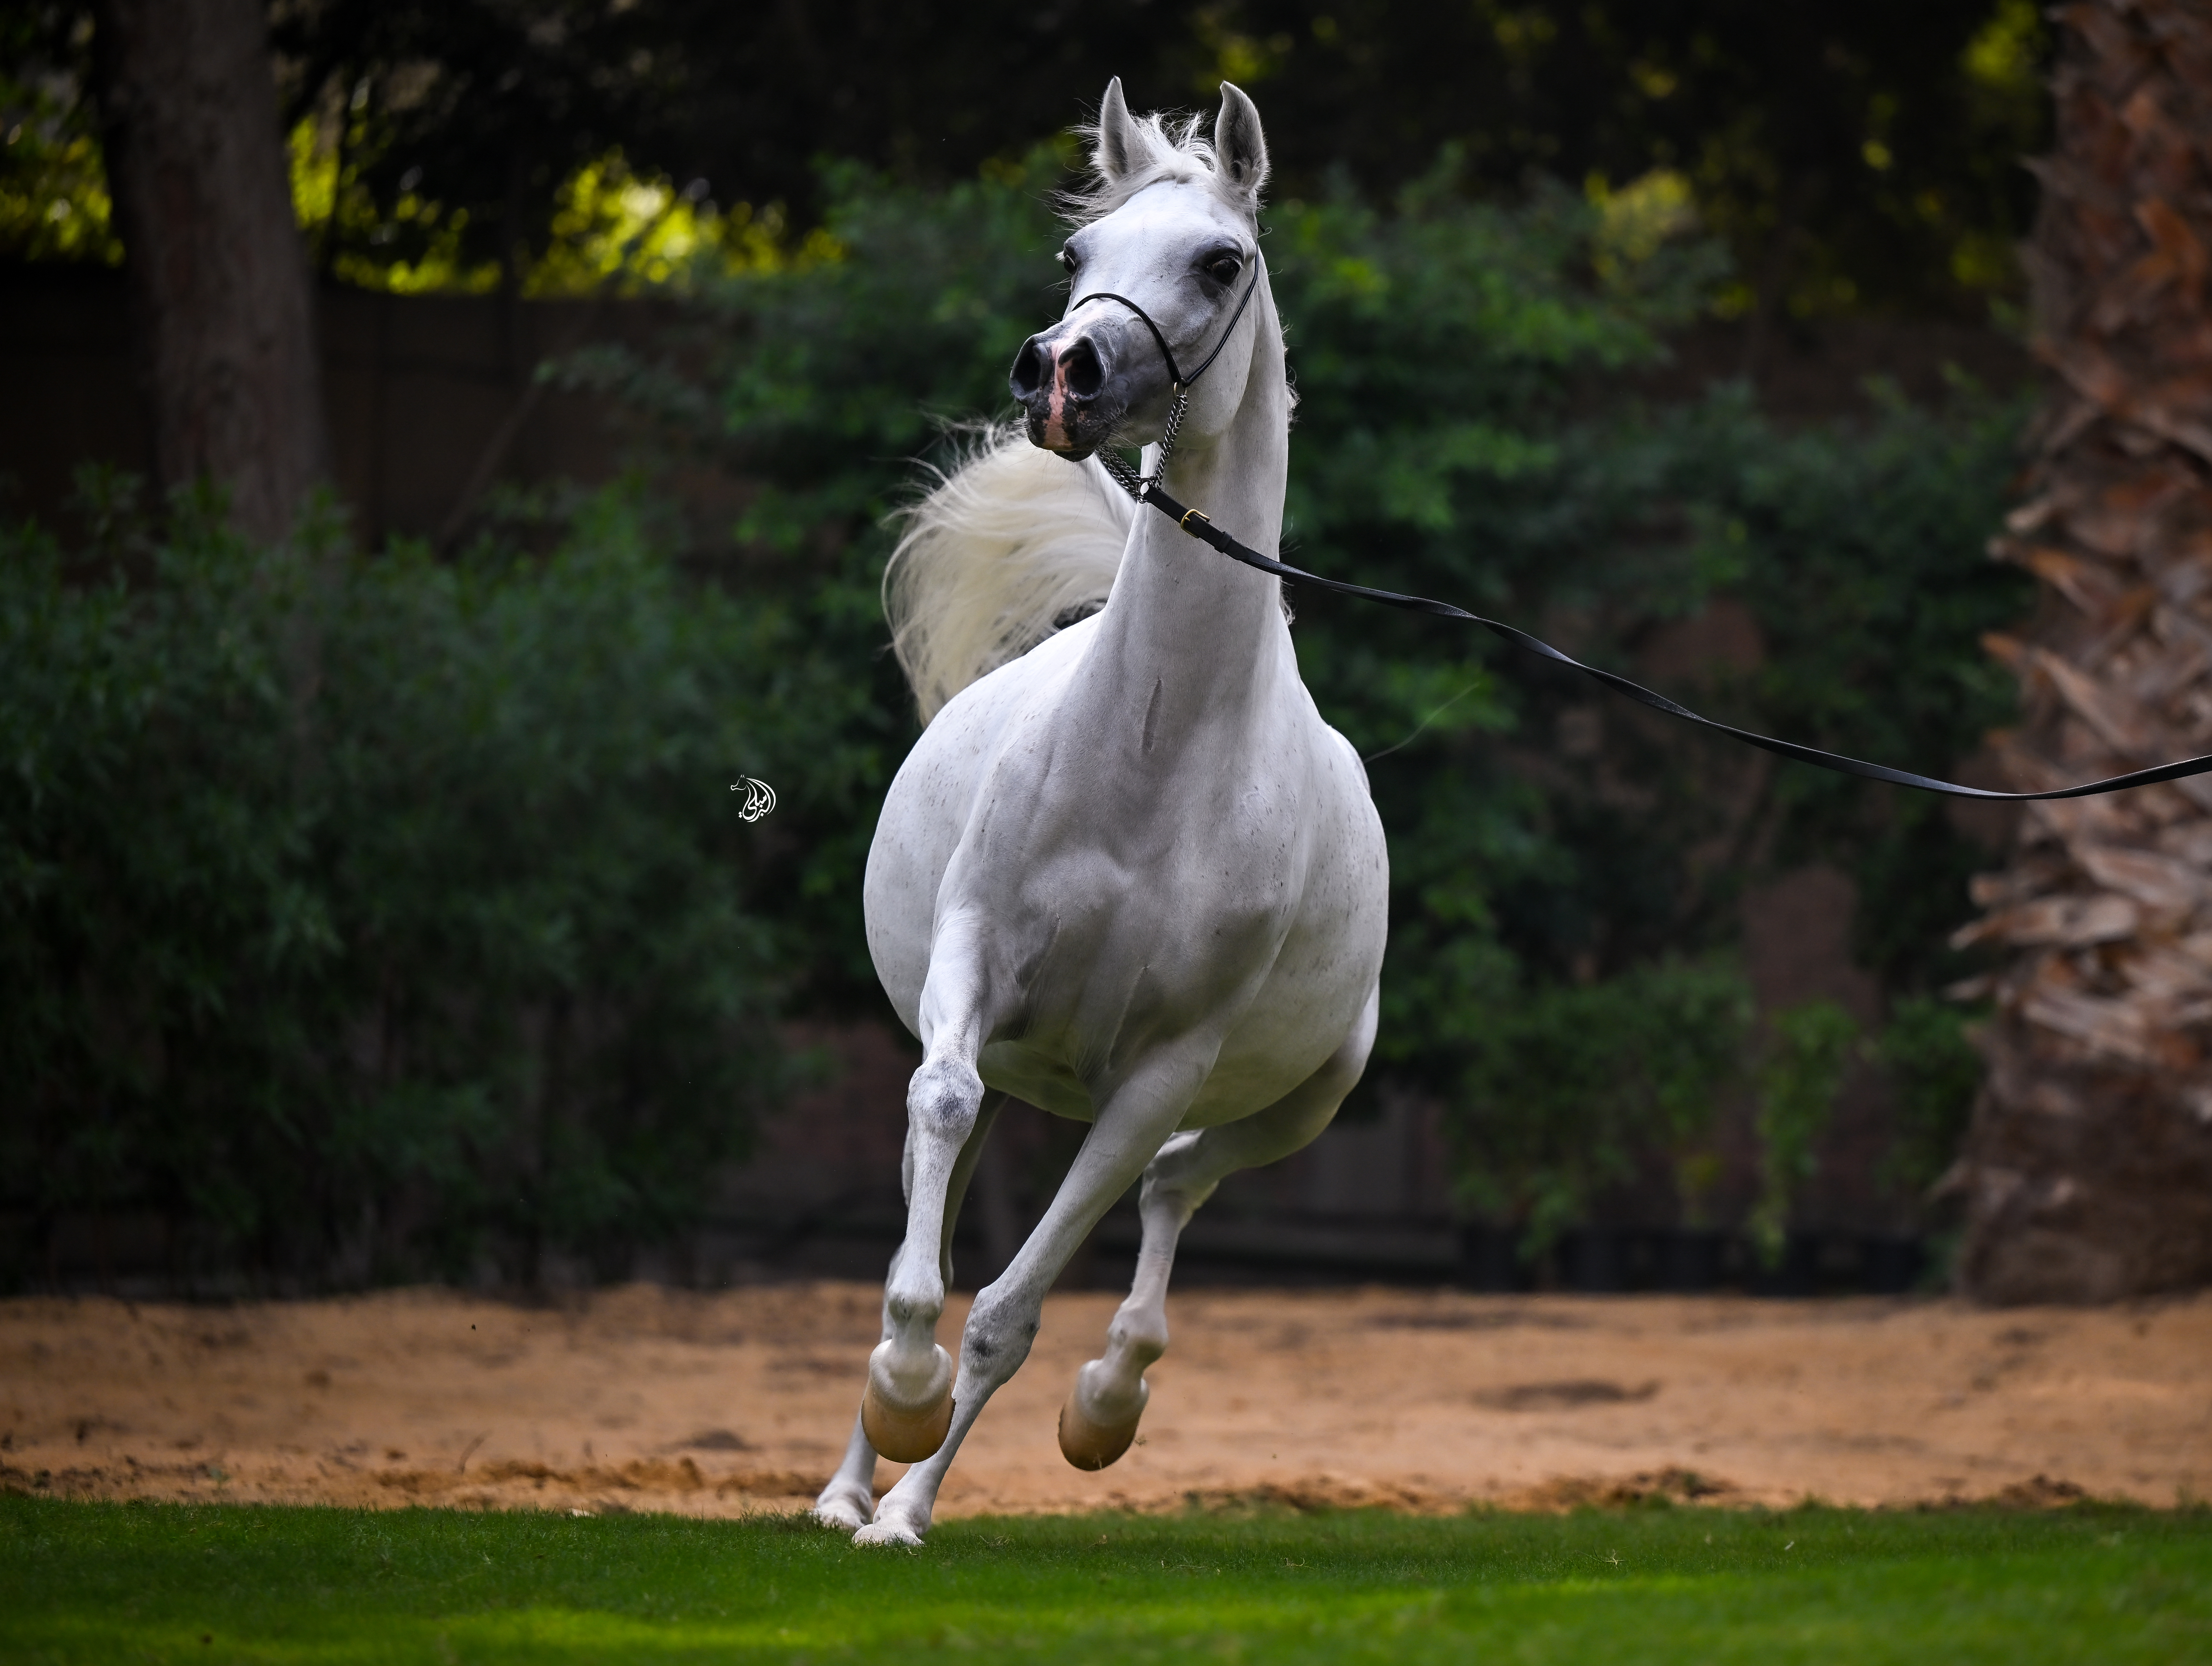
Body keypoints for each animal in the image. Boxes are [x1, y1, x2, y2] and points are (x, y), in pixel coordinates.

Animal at [811, 77, 1389, 1548]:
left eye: (1221, 260)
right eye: (1079, 255)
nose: (1060, 374)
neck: (1149, 762)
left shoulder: (1156, 1073)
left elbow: (1011, 1312)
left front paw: (923, 1468)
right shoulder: (969, 972)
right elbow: (936, 1131)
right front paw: (897, 1391)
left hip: (1306, 1093)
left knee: (1177, 1183)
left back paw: (1091, 1406)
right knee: (958, 1176)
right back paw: (846, 1487)